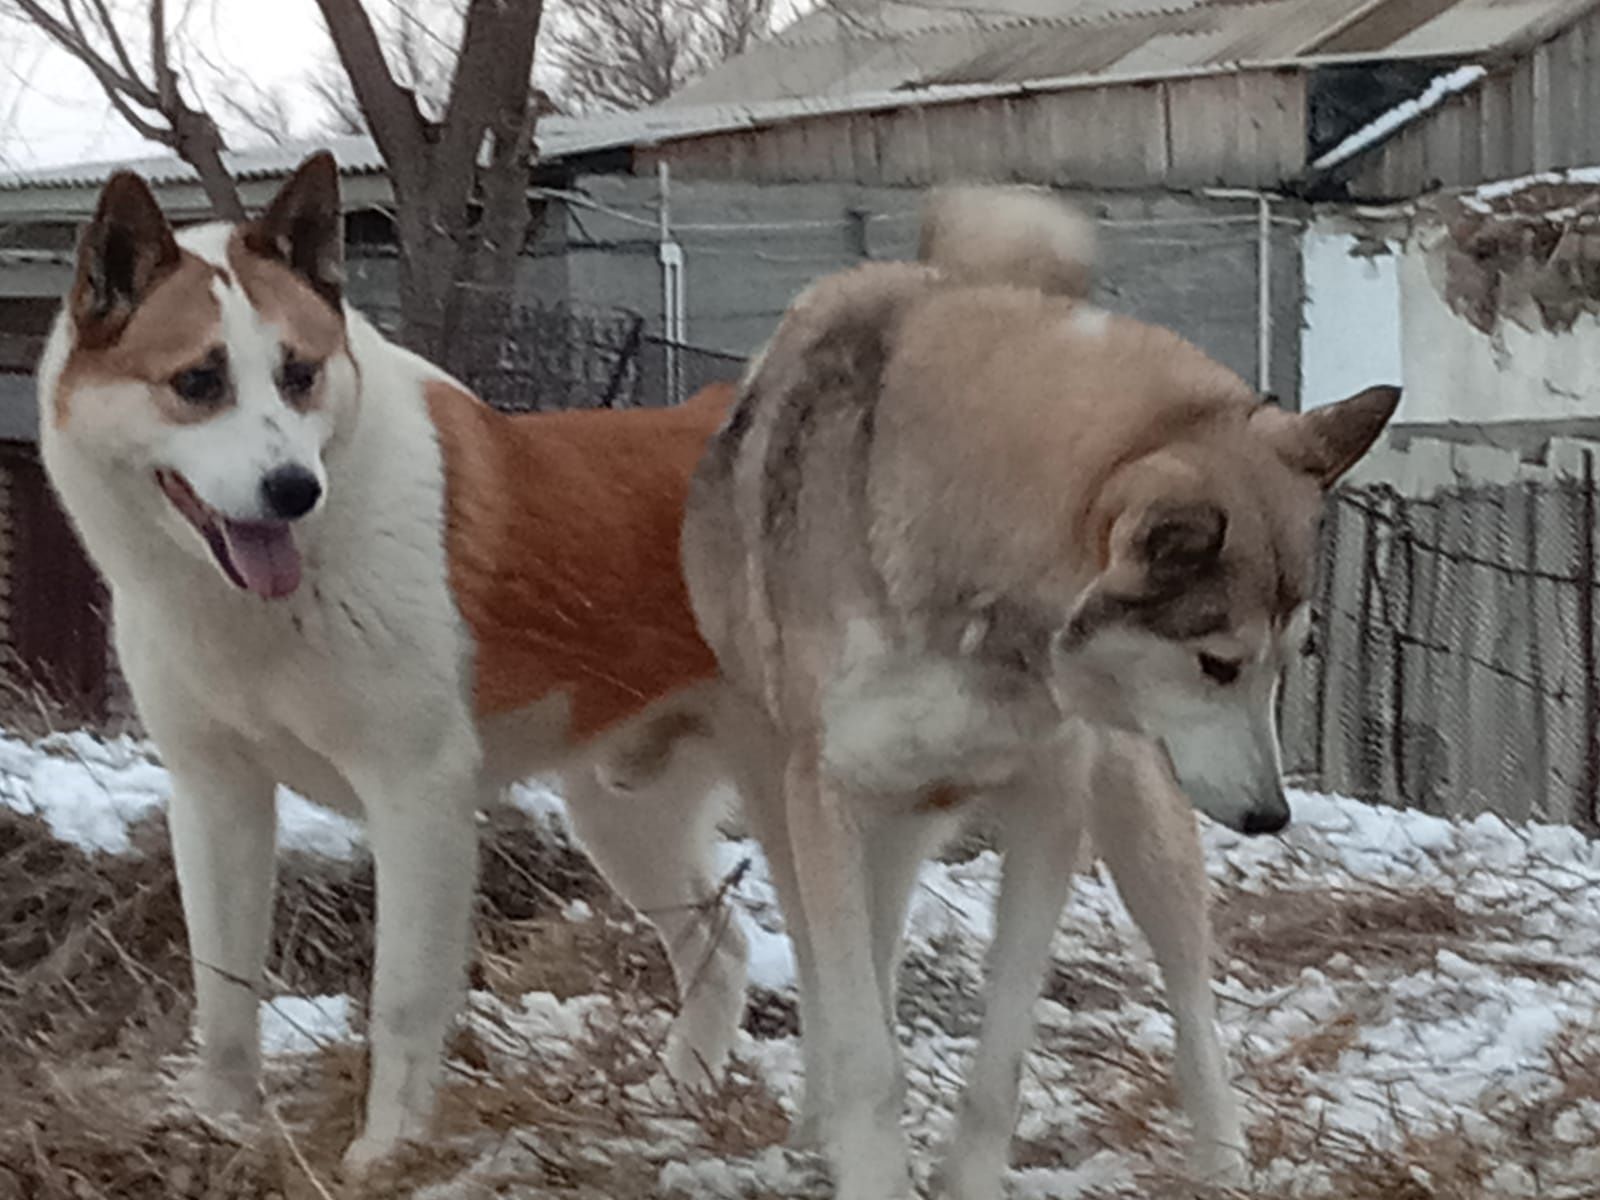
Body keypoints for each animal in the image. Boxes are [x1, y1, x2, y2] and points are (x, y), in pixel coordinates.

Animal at [37, 155, 748, 1171]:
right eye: (198, 381)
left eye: (298, 374)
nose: (293, 490)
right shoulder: (216, 795)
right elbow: (223, 987)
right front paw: (219, 1126)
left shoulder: (418, 796)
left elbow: (404, 1000)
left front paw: (390, 1152)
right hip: (622, 814)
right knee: (722, 949)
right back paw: (677, 1099)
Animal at [681, 188, 1395, 1200]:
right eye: (1218, 664)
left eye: (1288, 658)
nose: (1272, 816)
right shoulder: (827, 805)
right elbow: (864, 1047)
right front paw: (869, 1166)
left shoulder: (1051, 804)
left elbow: (1003, 1059)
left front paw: (965, 1178)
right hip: (800, 815)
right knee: (844, 973)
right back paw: (813, 1131)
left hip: (1137, 817)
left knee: (1192, 1002)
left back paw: (1223, 1162)